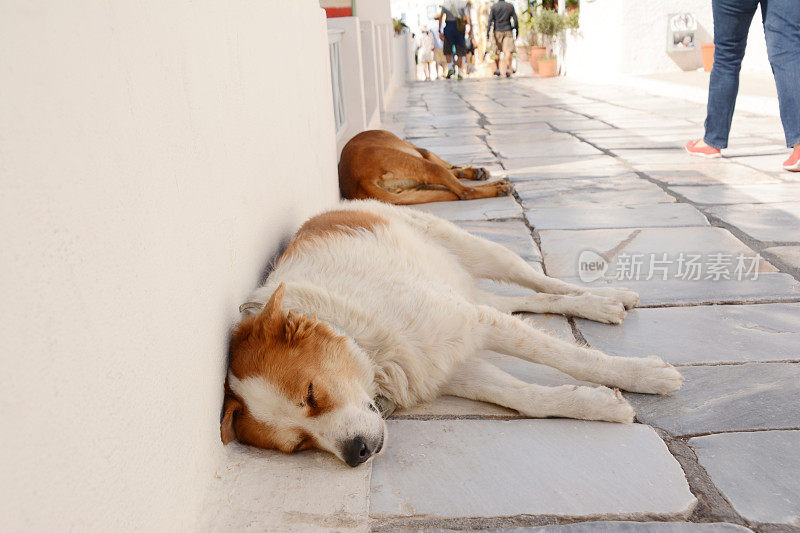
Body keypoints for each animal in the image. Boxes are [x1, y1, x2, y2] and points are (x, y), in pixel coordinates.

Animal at [222, 200, 684, 466]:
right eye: (298, 445)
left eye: (312, 395)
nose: (357, 454)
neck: (364, 344)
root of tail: (340, 204)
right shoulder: (448, 365)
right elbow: (525, 399)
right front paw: (598, 405)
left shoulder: (470, 324)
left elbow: (569, 357)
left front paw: (642, 376)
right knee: (530, 300)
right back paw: (599, 305)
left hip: (482, 252)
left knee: (541, 281)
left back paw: (607, 298)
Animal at [338, 129, 512, 204]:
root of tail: (359, 179)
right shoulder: (422, 153)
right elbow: (448, 167)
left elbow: (453, 169)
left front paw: (472, 172)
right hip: (424, 166)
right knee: (466, 191)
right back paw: (499, 189)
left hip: (414, 185)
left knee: (452, 190)